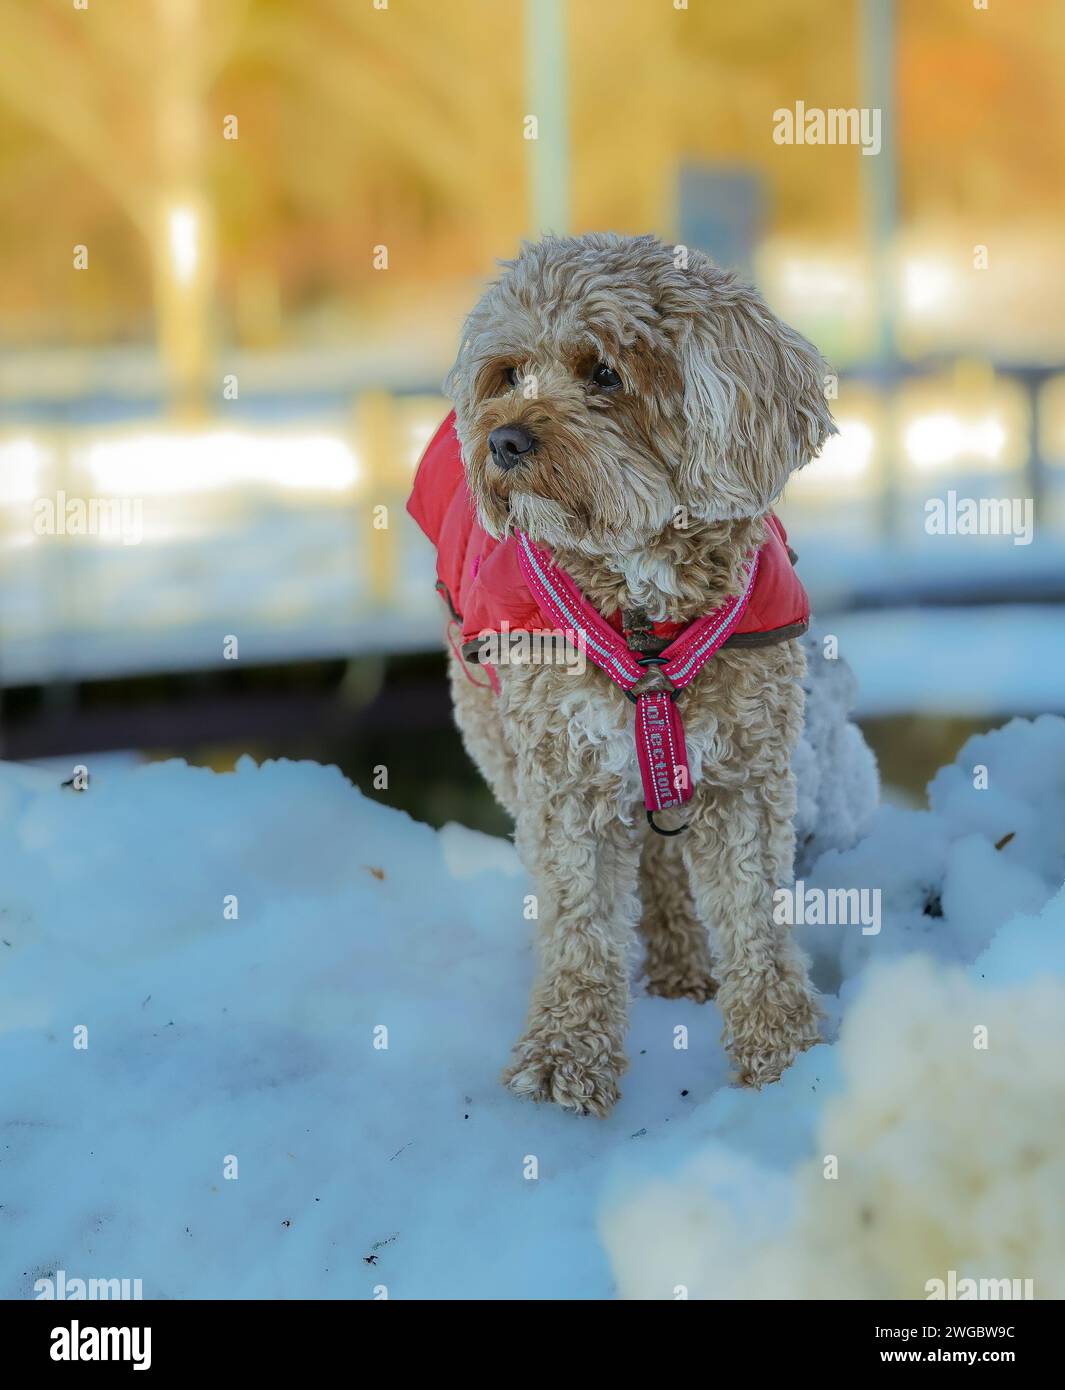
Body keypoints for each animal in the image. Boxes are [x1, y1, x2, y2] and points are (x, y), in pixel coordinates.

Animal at [408, 233, 845, 1112]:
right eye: (509, 372)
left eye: (604, 372)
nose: (502, 441)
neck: (643, 615)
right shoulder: (560, 774)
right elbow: (578, 920)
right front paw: (563, 1057)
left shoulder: (745, 771)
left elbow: (754, 917)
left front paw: (783, 1055)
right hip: (493, 729)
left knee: (661, 858)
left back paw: (679, 965)